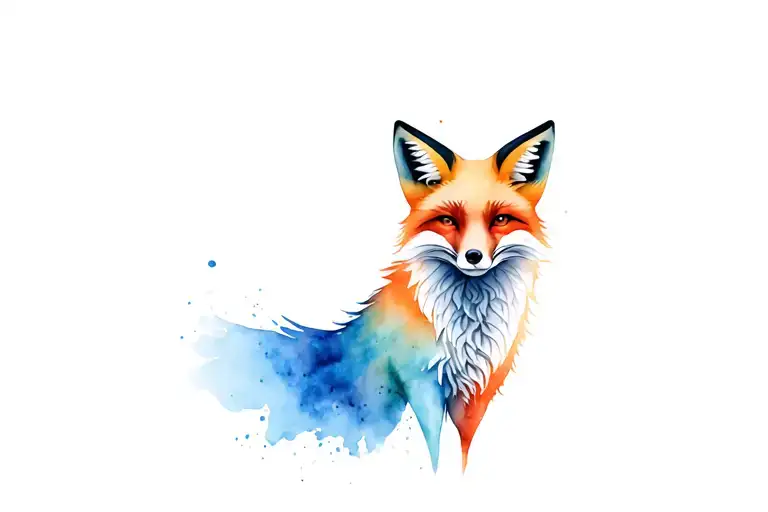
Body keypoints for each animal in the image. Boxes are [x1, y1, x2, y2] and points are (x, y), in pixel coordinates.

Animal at [194, 119, 555, 472]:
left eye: (500, 220)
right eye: (448, 220)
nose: (474, 257)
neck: (464, 329)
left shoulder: (478, 391)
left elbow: (462, 454)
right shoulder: (419, 381)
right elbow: (436, 452)